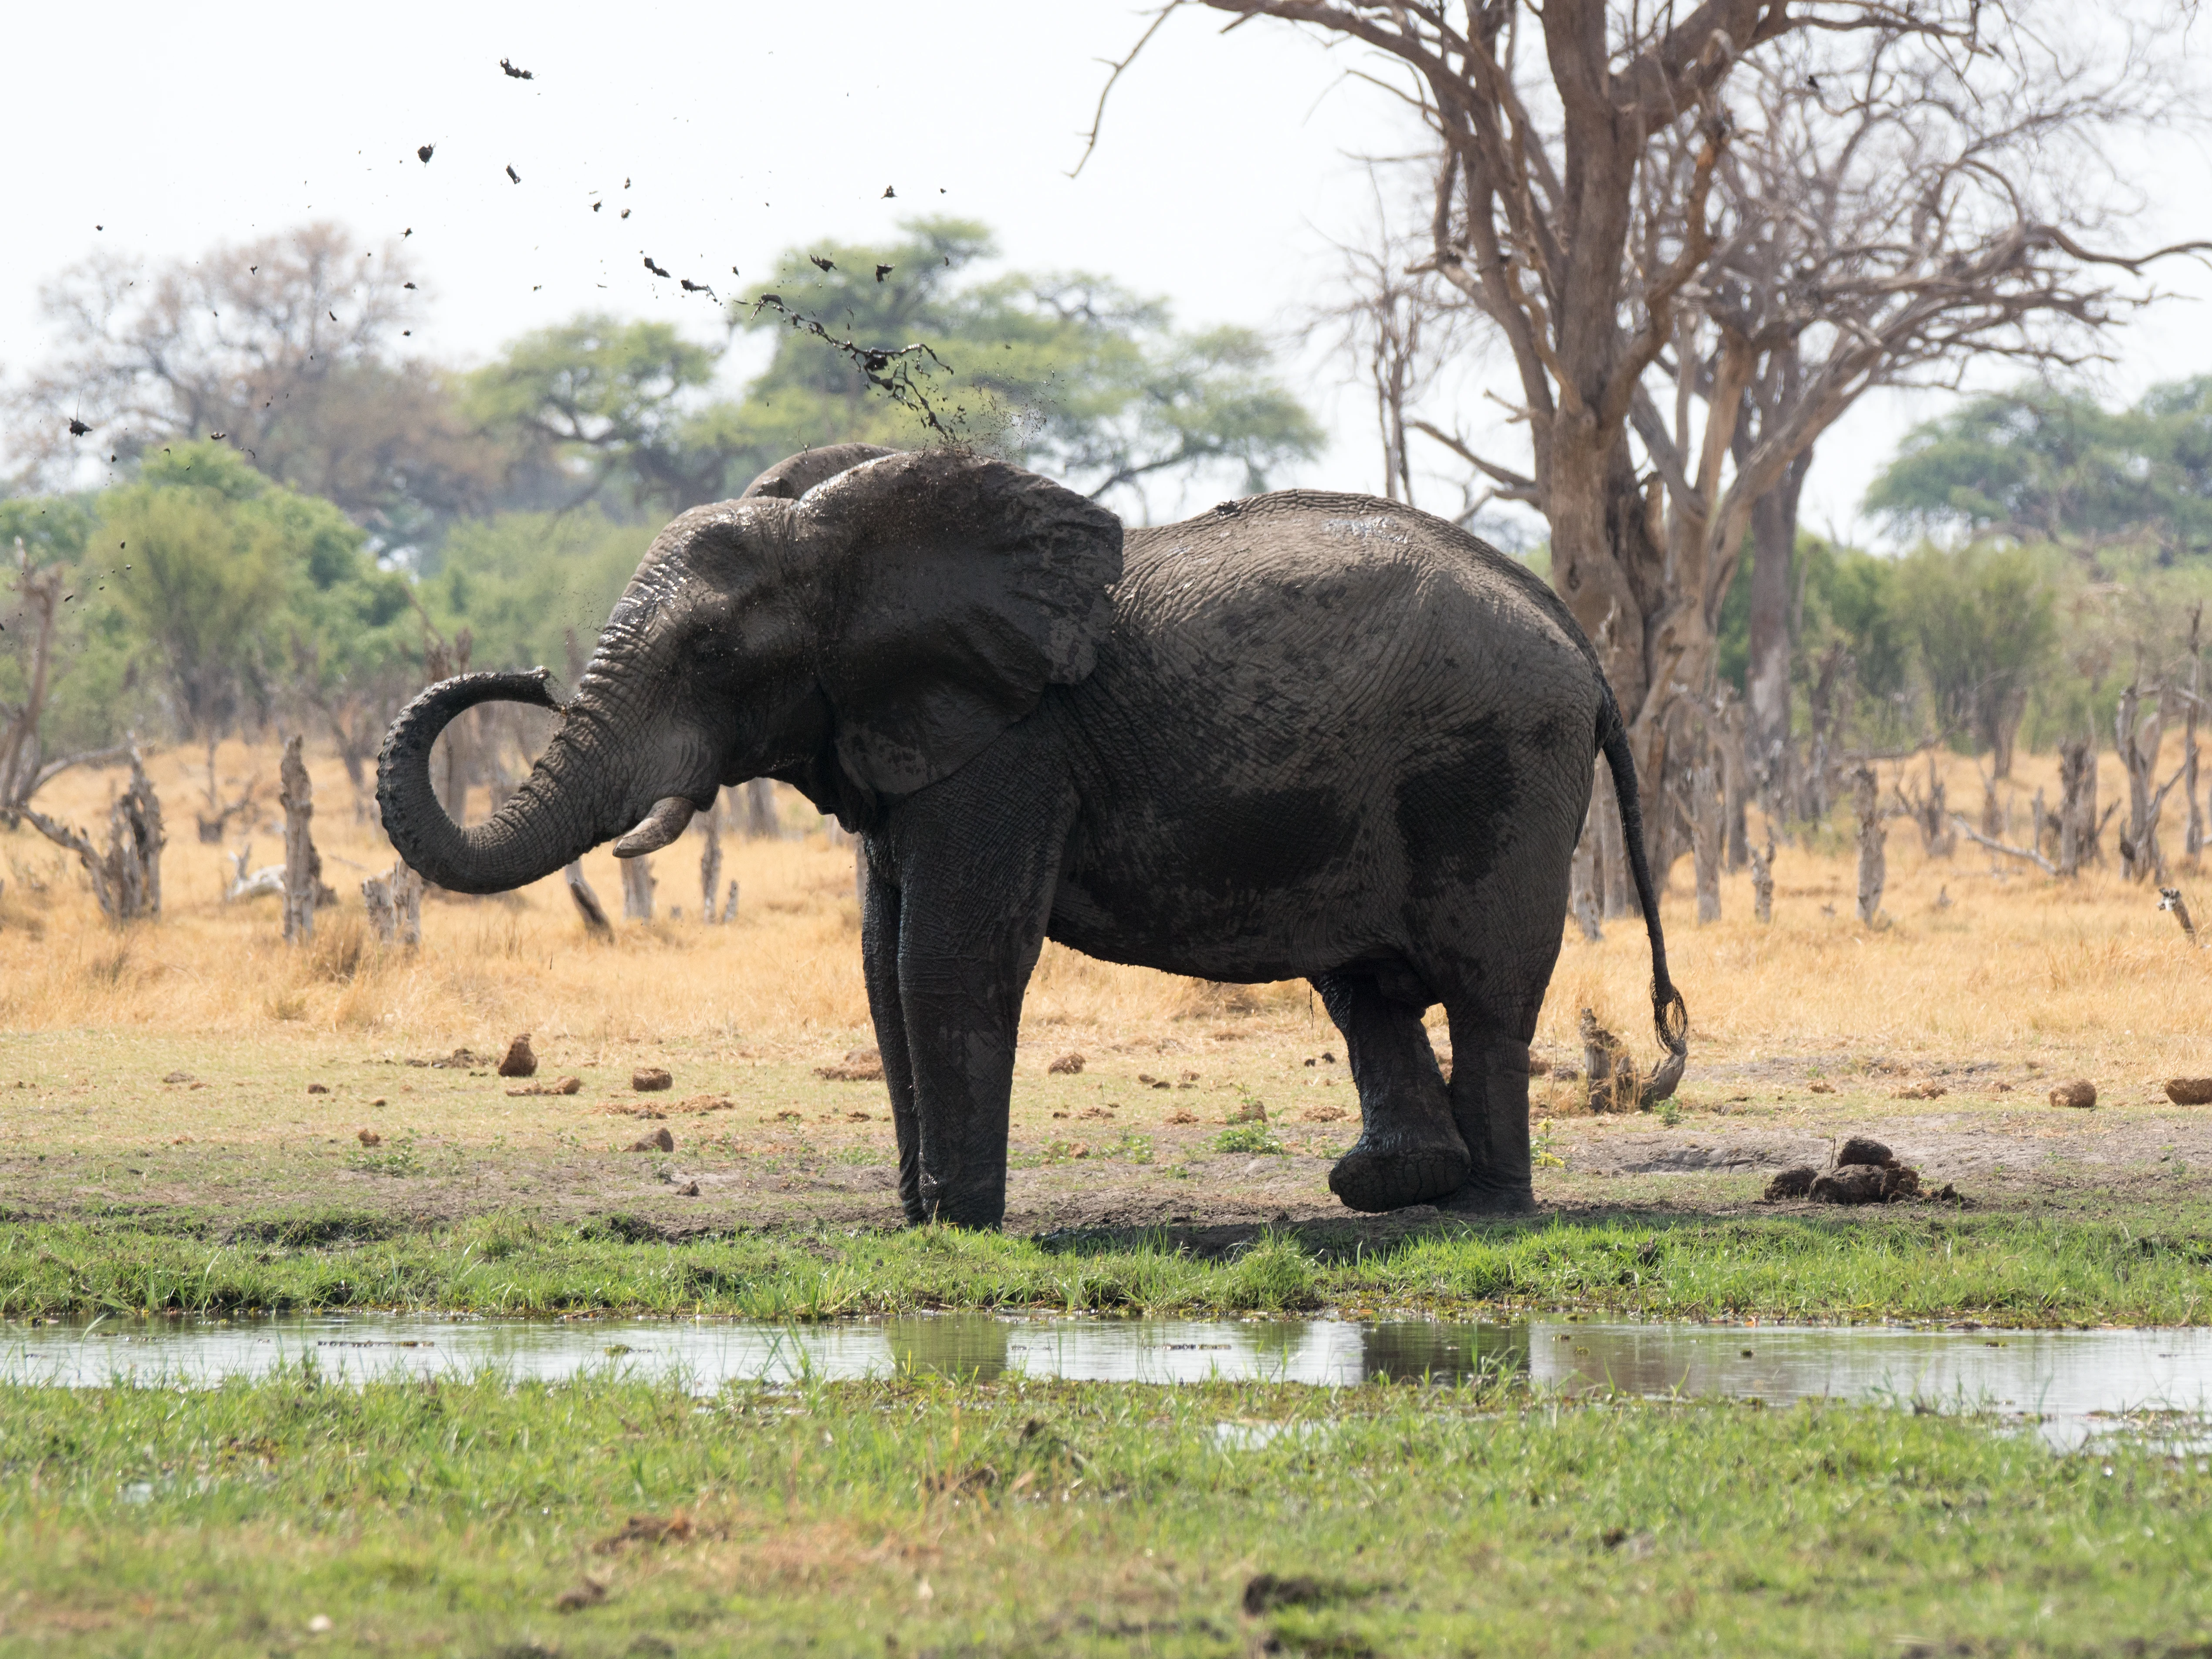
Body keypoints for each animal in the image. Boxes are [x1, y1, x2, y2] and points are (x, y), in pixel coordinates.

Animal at [377, 444, 1686, 1228]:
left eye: (709, 652)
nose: (527, 675)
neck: (854, 533)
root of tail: (1580, 651)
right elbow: (879, 964)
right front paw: (918, 1217)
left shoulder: (1011, 739)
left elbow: (946, 959)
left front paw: (959, 1222)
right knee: (1365, 989)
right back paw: (1392, 1191)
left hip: (1497, 766)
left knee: (1482, 987)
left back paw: (1483, 1211)